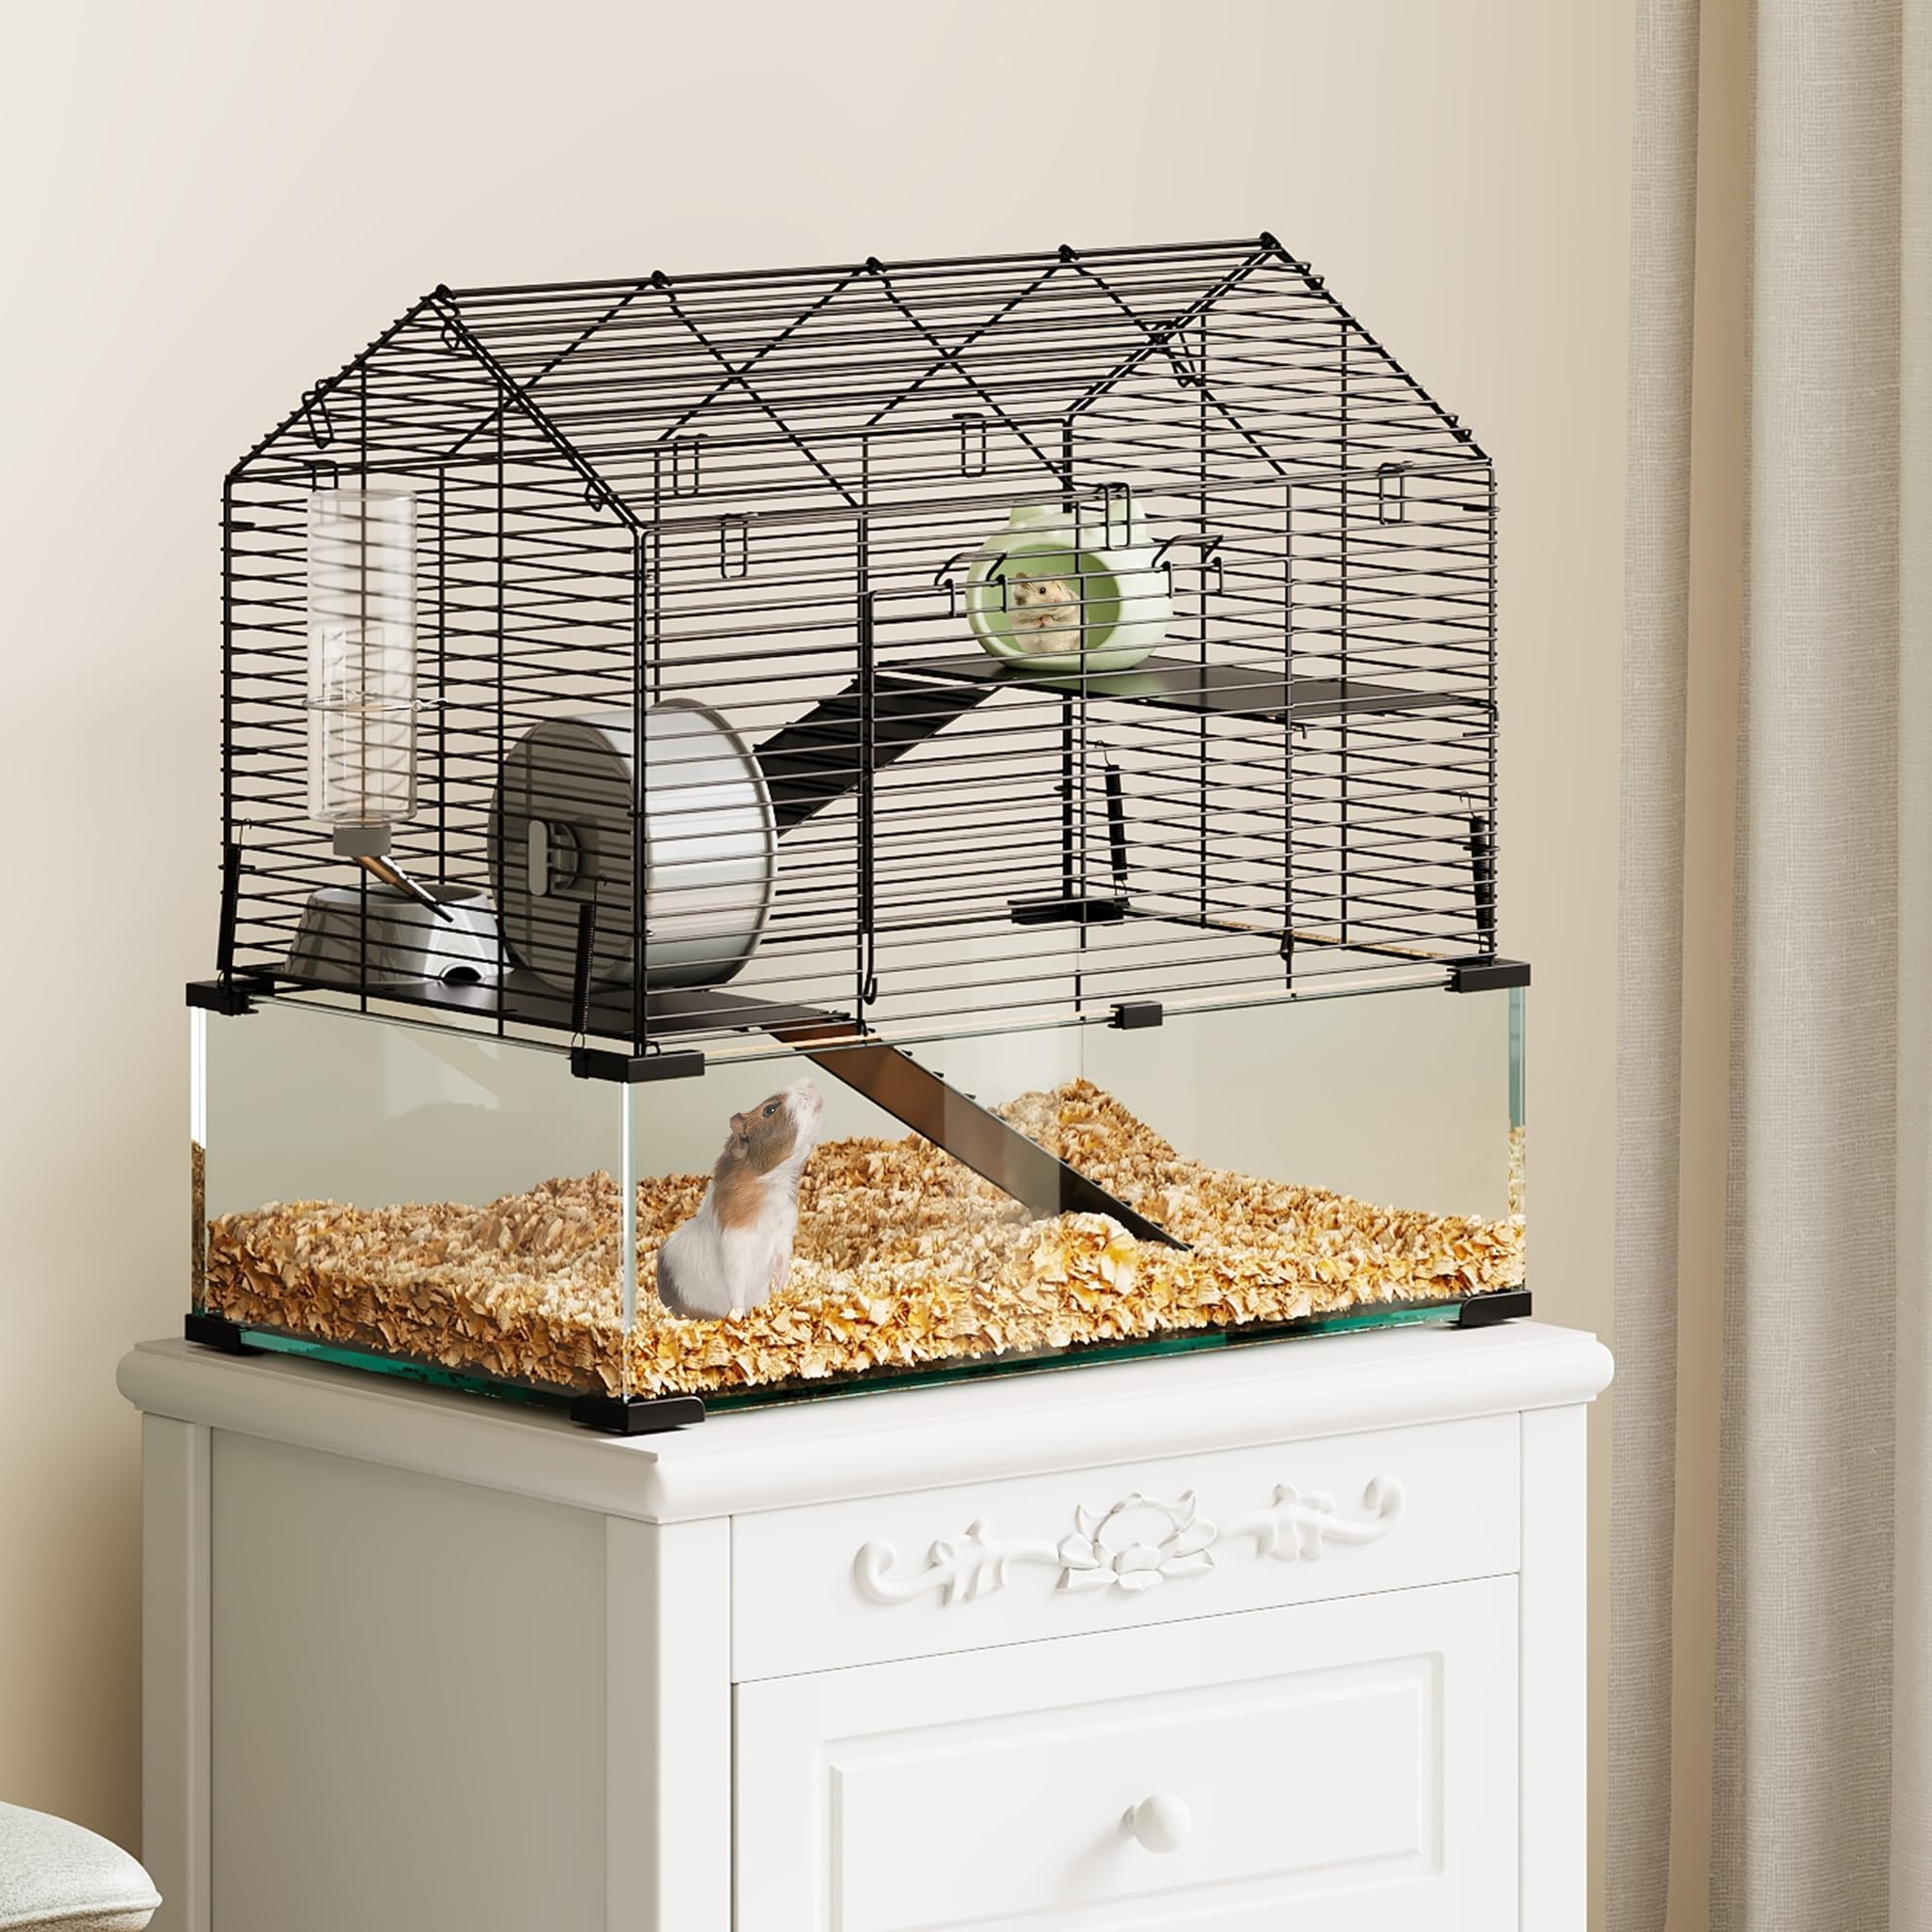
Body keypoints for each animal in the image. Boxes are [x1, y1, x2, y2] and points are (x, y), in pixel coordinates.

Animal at [654, 1078, 824, 1321]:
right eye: (770, 1109)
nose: (809, 1083)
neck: (771, 1184)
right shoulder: (735, 1249)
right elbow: (736, 1287)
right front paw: (739, 1316)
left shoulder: (785, 1230)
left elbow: (783, 1257)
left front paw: (779, 1286)